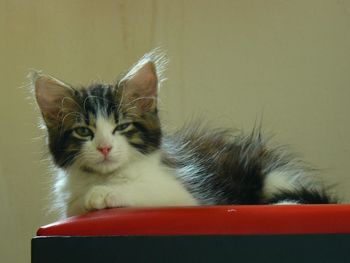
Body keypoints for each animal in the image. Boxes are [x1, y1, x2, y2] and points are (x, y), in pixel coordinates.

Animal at [32, 50, 334, 220]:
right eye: (84, 131)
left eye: (122, 127)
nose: (105, 148)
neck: (108, 176)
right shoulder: (69, 203)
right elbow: (76, 203)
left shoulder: (186, 195)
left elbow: (145, 191)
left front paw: (102, 194)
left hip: (273, 174)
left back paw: (286, 202)